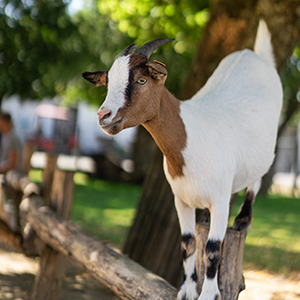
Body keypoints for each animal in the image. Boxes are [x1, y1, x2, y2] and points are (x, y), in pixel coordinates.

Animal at [82, 19, 284, 298]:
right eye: (108, 83)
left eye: (142, 80)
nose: (104, 116)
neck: (190, 140)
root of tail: (255, 54)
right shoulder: (181, 200)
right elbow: (188, 244)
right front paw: (187, 289)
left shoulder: (220, 200)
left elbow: (212, 248)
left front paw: (209, 293)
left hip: (268, 144)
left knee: (259, 175)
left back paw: (243, 220)